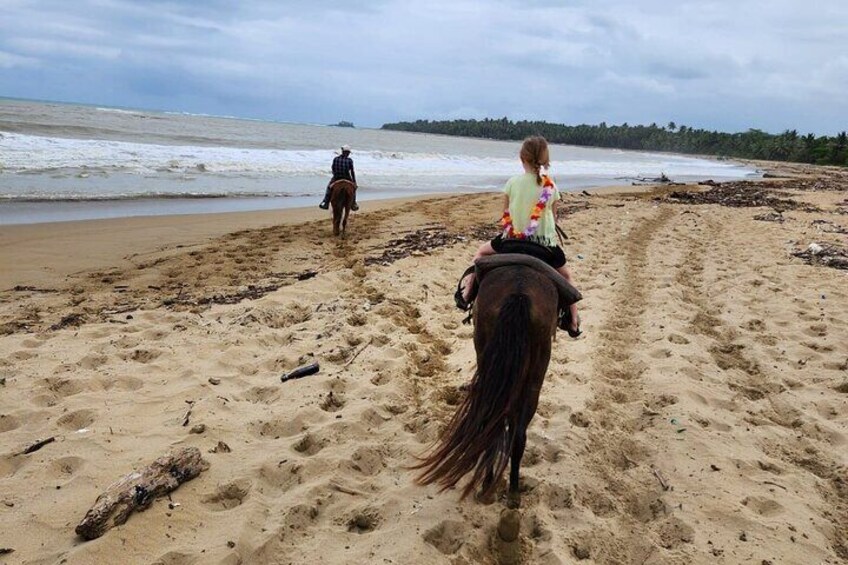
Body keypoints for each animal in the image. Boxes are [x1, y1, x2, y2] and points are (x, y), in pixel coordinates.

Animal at [416, 264, 560, 506]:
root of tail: (519, 293)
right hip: (531, 378)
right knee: (512, 433)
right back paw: (505, 492)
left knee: (498, 428)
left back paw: (494, 488)